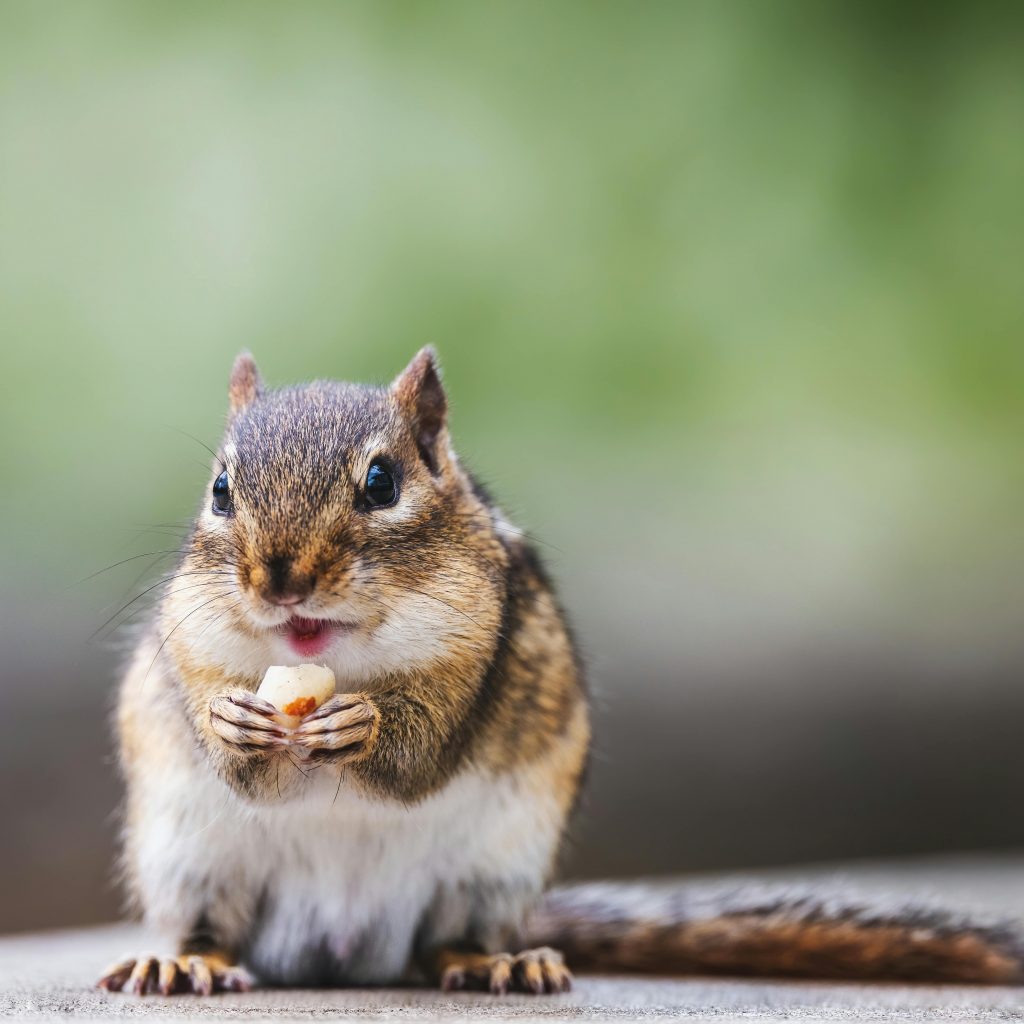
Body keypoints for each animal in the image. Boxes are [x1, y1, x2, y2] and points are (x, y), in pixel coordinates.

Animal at [99, 350, 1024, 997]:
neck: (328, 657)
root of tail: (343, 951)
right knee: (212, 931)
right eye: (221, 489)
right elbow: (238, 757)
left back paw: (496, 964)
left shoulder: (476, 653)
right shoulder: (195, 649)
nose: (280, 580)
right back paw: (183, 965)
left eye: (381, 482)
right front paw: (232, 724)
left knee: (447, 944)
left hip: (489, 871)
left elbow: (417, 756)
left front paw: (364, 724)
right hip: (190, 858)